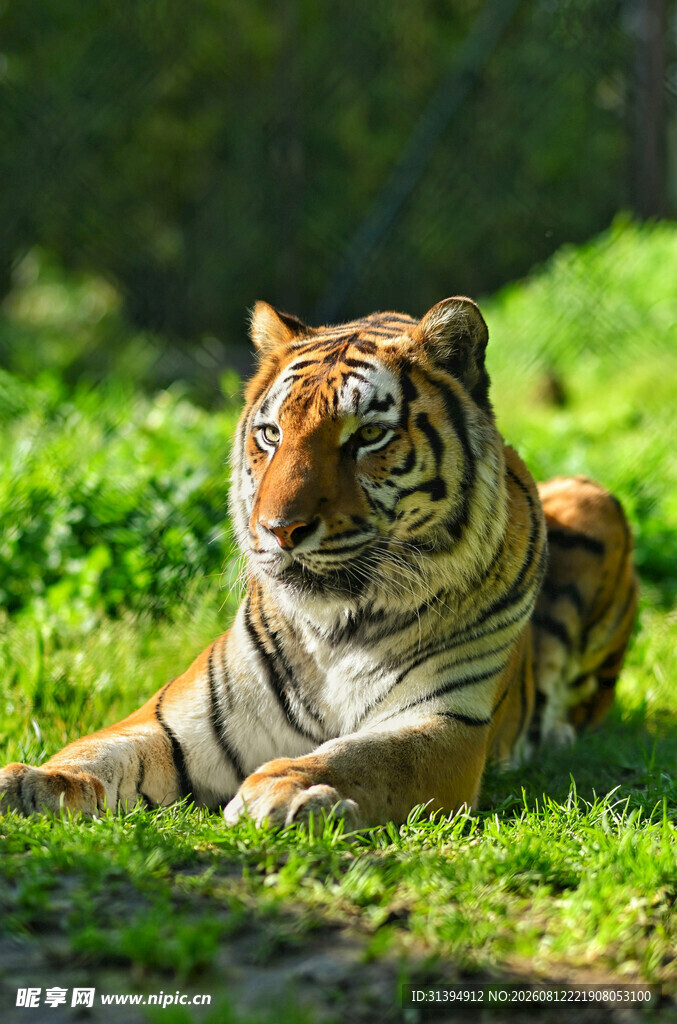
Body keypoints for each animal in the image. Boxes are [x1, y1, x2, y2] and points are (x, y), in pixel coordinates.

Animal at [0, 297, 638, 826]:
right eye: (270, 433)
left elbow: (361, 756)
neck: (336, 626)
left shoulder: (445, 723)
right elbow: (102, 751)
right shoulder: (181, 721)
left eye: (369, 435)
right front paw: (29, 782)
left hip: (592, 500)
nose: (279, 529)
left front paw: (286, 790)